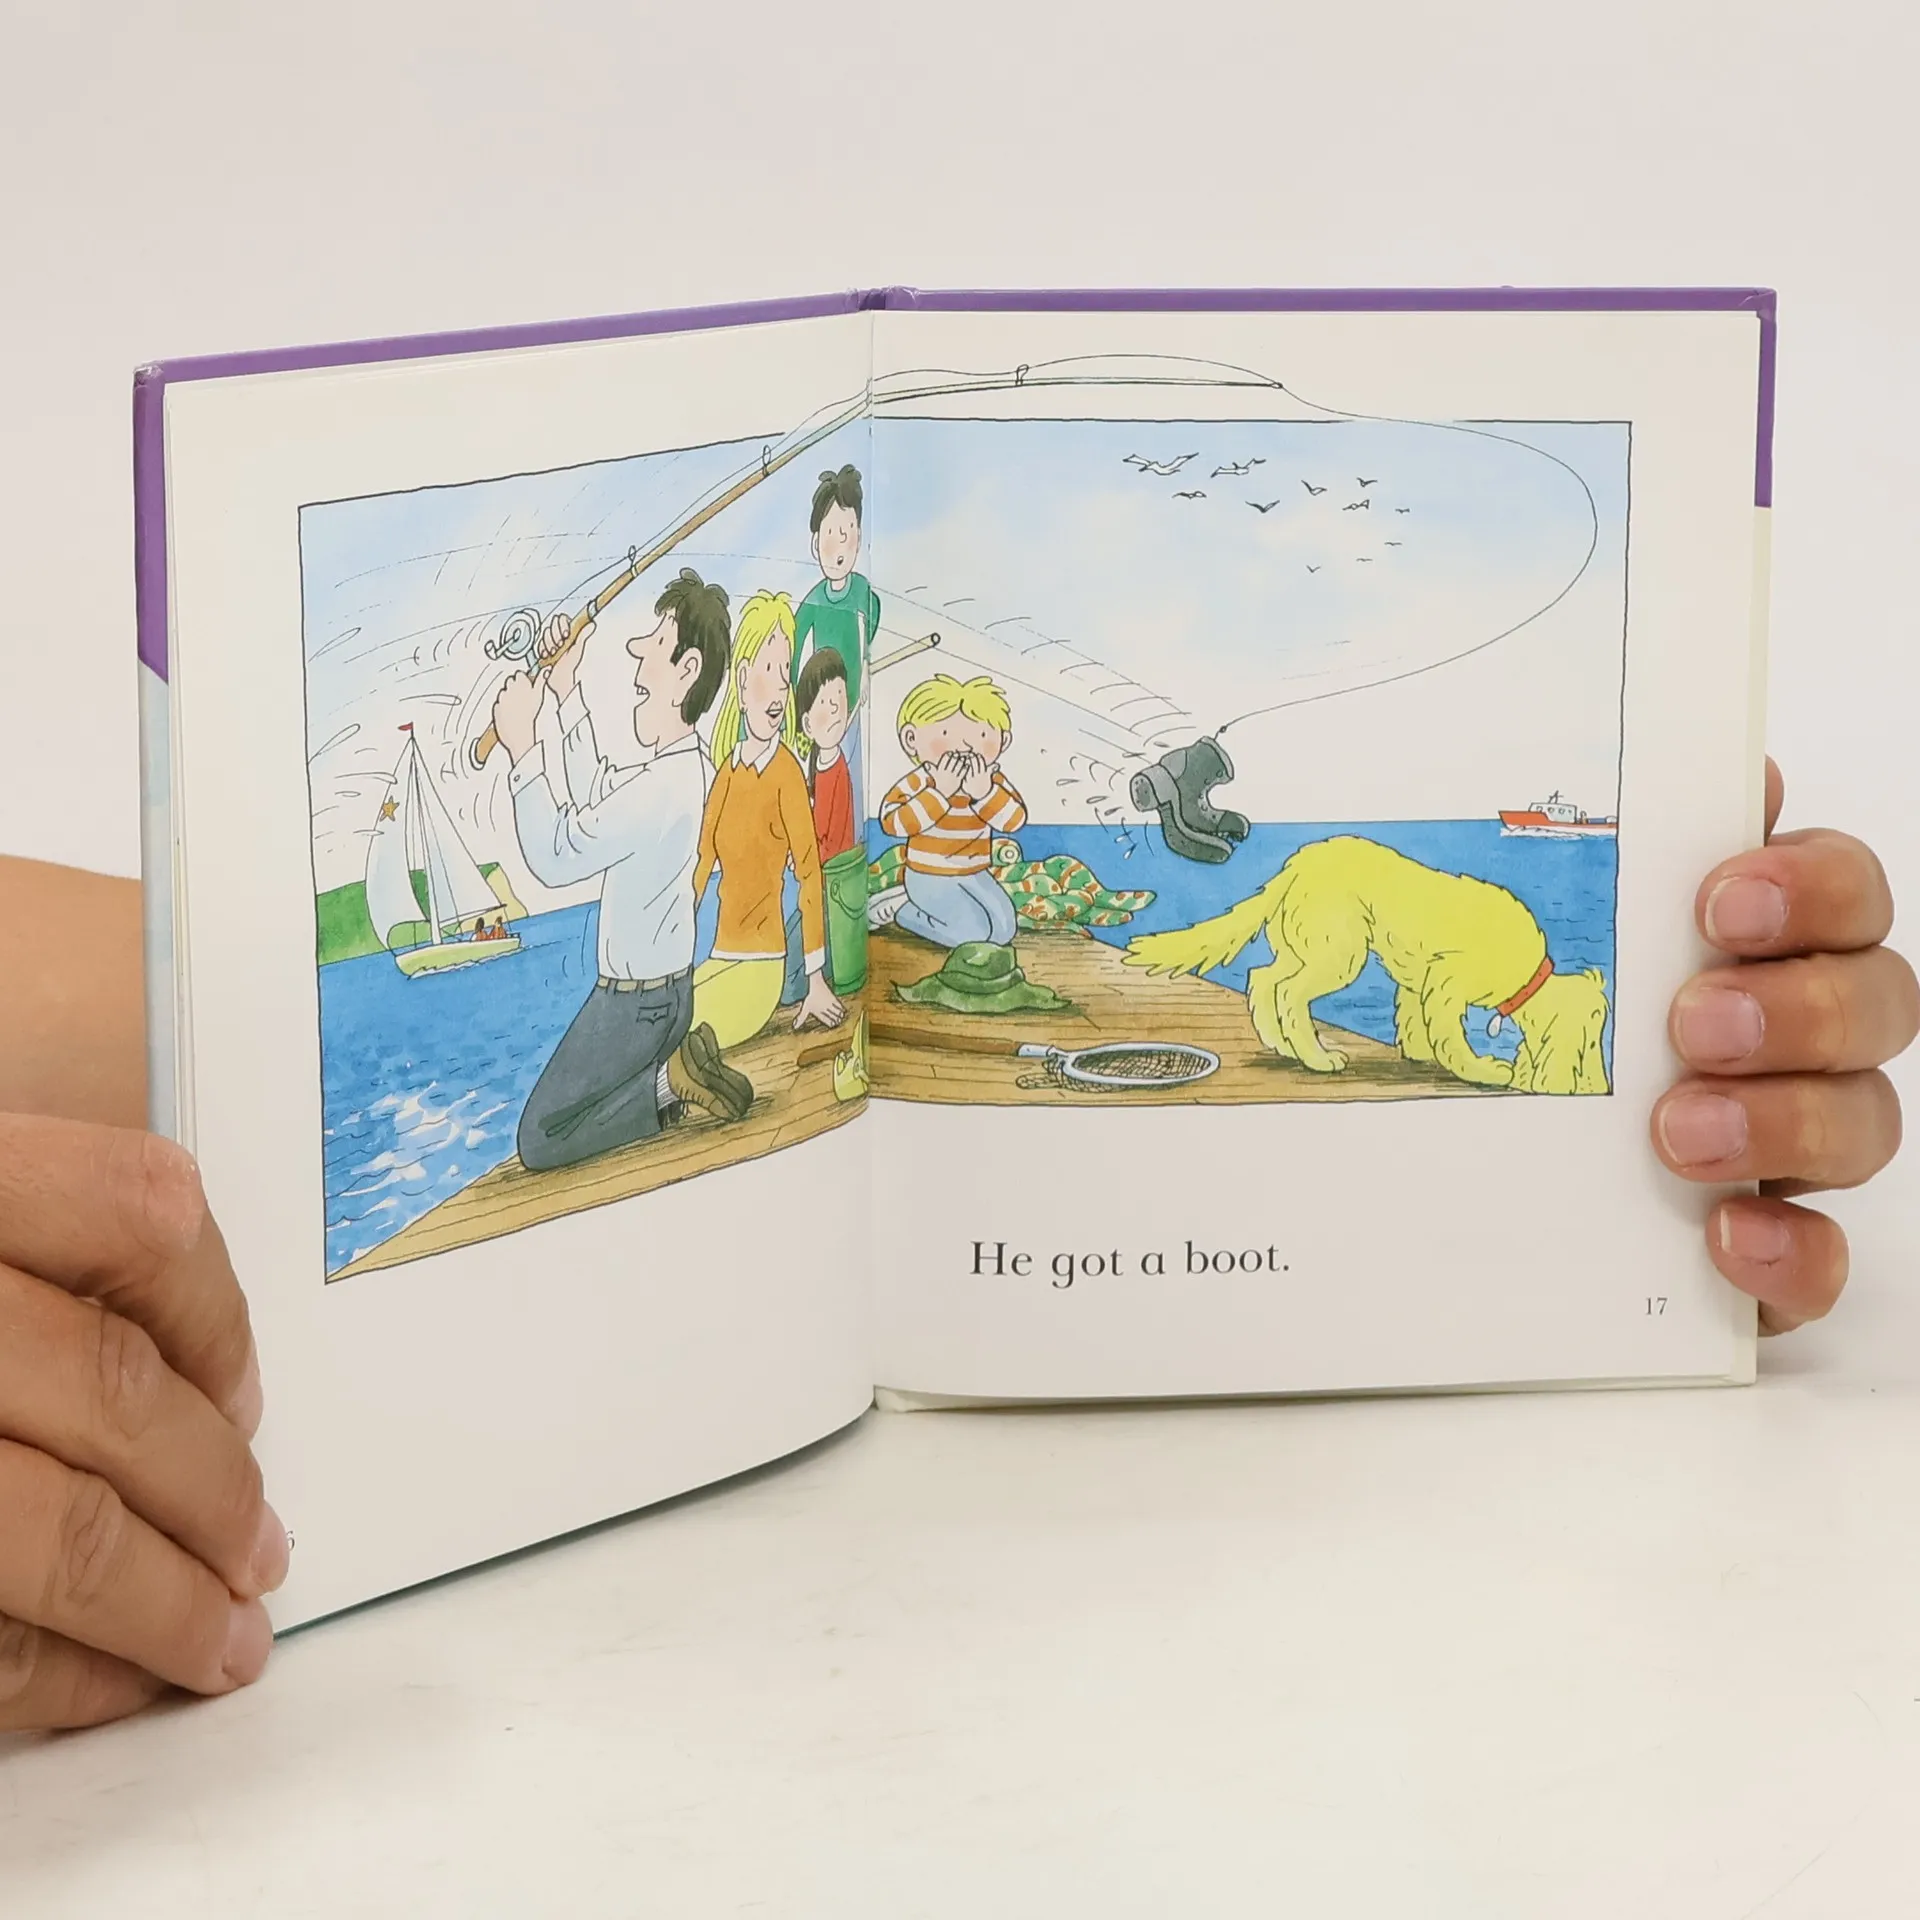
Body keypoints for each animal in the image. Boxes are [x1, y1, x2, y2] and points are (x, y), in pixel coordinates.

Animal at [1125, 836, 1610, 1094]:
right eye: (1591, 1039)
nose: (1600, 1087)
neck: (1529, 976)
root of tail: (1291, 869)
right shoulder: (1447, 982)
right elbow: (1453, 1037)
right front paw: (1487, 1071)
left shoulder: (1420, 979)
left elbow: (1413, 1018)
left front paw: (1417, 1052)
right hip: (1340, 953)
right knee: (1289, 992)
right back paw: (1318, 1058)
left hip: (1303, 947)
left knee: (1263, 979)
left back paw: (1284, 1046)